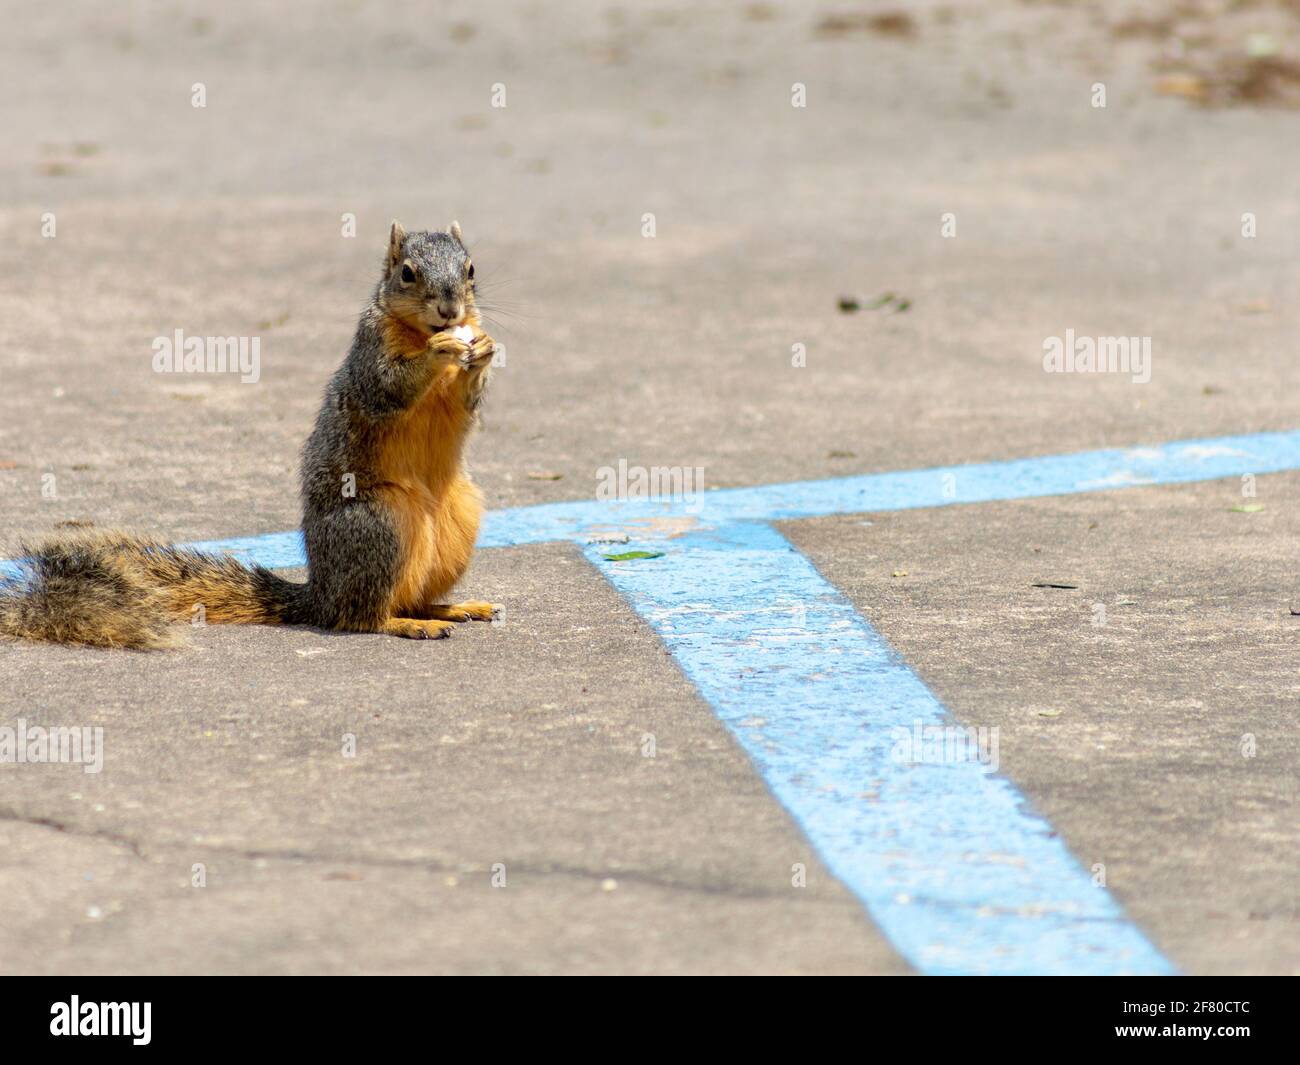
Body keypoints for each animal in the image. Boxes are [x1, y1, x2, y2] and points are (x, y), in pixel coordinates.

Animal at [0, 220, 500, 648]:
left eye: (471, 268)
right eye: (407, 273)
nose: (450, 310)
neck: (420, 331)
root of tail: (319, 593)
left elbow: (467, 404)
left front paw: (485, 349)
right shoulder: (370, 356)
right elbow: (387, 387)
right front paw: (439, 350)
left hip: (459, 517)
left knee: (412, 595)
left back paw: (452, 608)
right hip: (380, 524)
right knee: (360, 616)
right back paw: (408, 623)